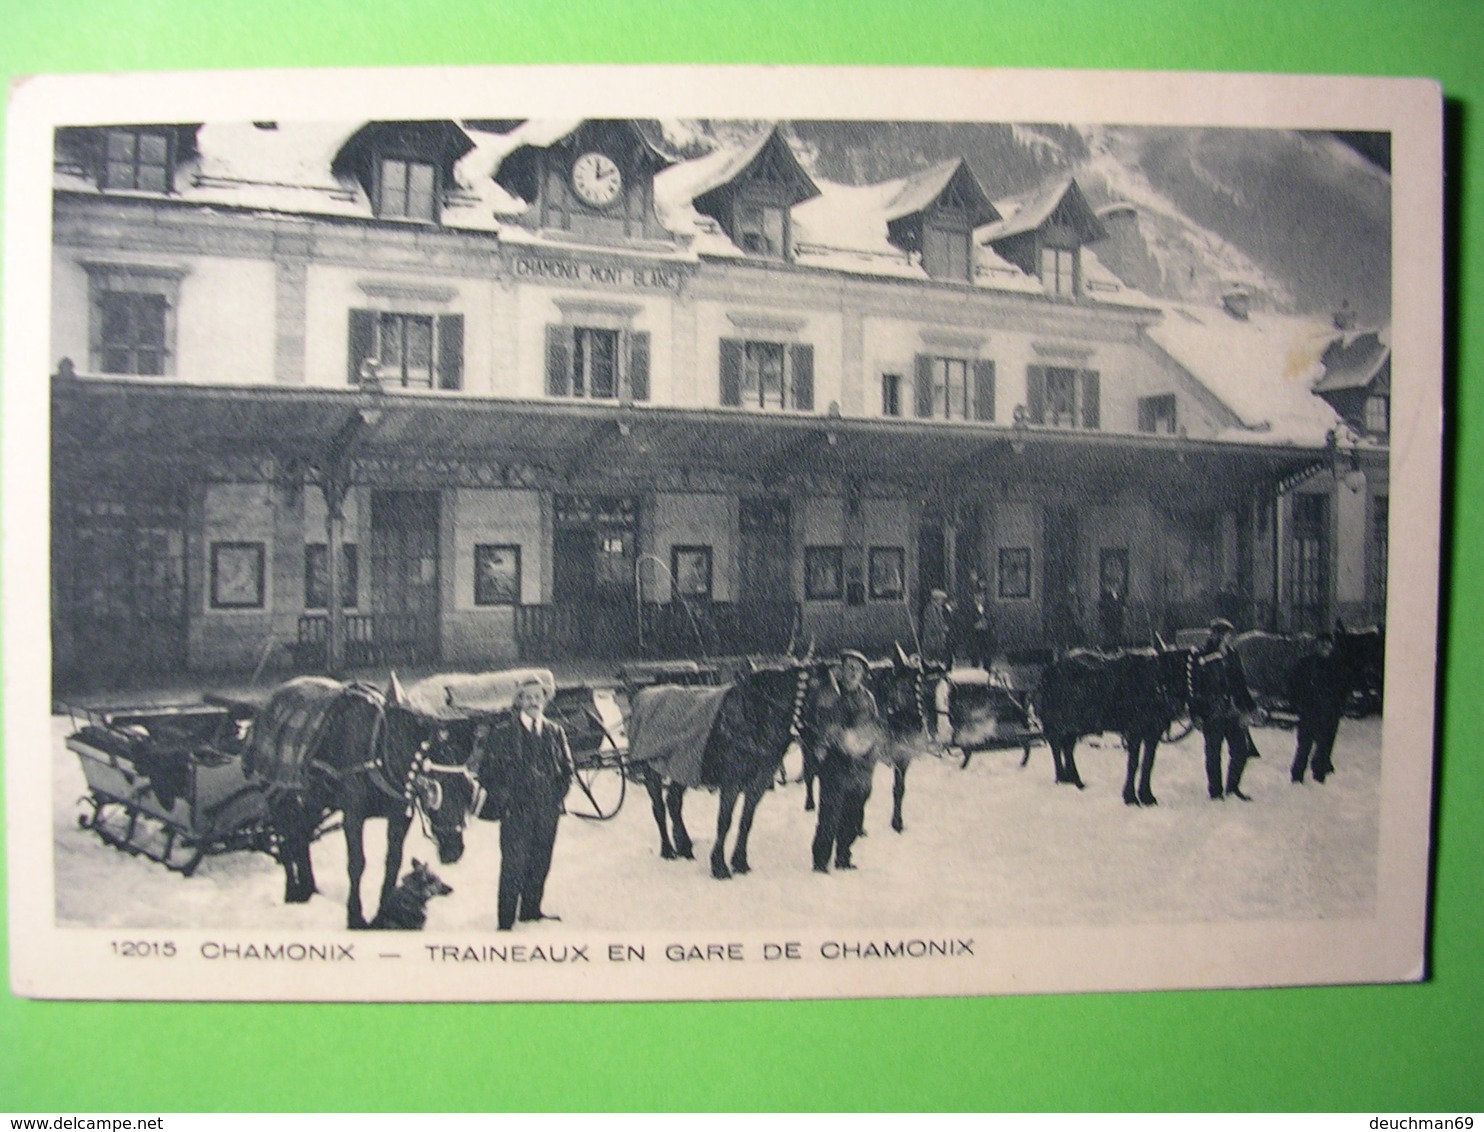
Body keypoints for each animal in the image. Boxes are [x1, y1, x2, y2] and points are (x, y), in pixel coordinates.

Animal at [243, 682, 474, 931]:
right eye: (436, 787)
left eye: (466, 787)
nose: (455, 850)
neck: (381, 751)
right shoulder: (353, 815)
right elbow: (357, 863)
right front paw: (354, 916)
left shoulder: (400, 815)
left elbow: (393, 861)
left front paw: (384, 909)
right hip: (277, 796)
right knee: (285, 841)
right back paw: (292, 892)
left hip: (313, 801)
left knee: (301, 839)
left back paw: (309, 890)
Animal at [626, 664, 813, 884]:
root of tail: (642, 695)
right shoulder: (731, 782)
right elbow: (724, 821)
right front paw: (719, 866)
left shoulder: (759, 782)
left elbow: (746, 820)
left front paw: (740, 862)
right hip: (652, 770)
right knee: (659, 808)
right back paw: (668, 850)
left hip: (683, 767)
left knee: (673, 802)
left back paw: (685, 847)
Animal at [1032, 646, 1193, 807]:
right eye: (1168, 672)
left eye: (1188, 673)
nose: (1176, 706)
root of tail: (1049, 670)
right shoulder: (1134, 731)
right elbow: (1133, 764)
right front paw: (1130, 797)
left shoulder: (1153, 733)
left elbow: (1148, 763)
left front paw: (1147, 797)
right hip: (1056, 723)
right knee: (1056, 747)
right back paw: (1061, 779)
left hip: (1076, 725)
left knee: (1067, 747)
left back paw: (1075, 781)